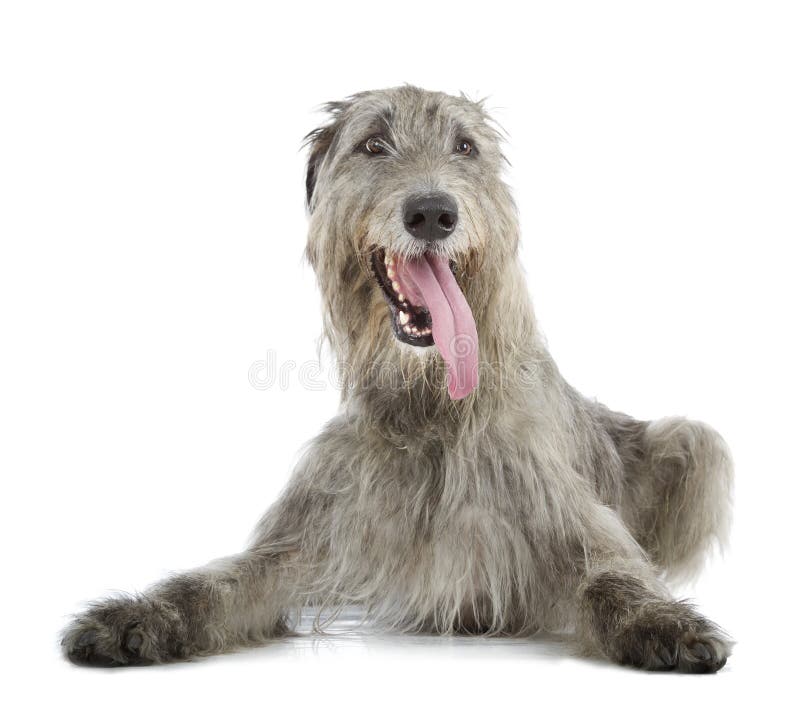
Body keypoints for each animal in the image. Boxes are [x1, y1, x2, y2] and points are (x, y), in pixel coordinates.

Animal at [65, 87, 736, 672]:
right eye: (373, 144)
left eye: (465, 146)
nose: (433, 212)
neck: (431, 407)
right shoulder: (315, 529)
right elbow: (216, 582)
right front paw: (135, 616)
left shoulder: (564, 514)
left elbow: (612, 576)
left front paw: (662, 623)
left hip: (693, 443)